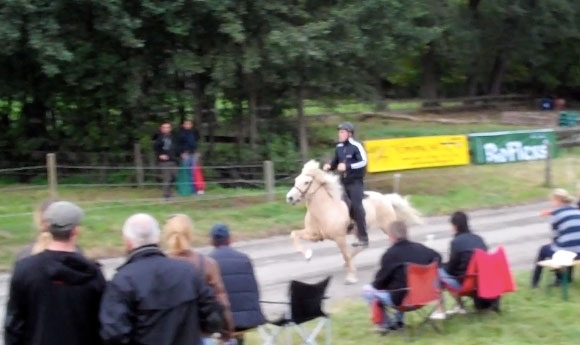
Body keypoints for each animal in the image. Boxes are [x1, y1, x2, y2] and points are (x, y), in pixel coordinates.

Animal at [286, 159, 426, 282]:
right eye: (296, 180)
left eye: (306, 182)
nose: (290, 198)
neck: (325, 208)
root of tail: (385, 198)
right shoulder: (314, 235)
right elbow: (294, 234)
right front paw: (307, 255)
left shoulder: (339, 238)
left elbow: (345, 254)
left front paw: (351, 277)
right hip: (360, 231)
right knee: (364, 245)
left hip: (386, 226)